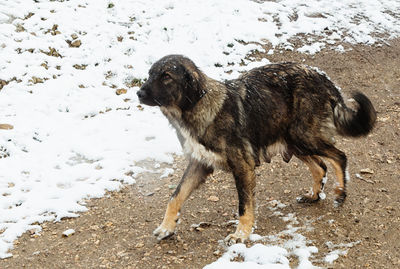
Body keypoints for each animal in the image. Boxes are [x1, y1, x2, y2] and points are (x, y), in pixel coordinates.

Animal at [136, 54, 376, 243]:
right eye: (150, 74)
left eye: (166, 76)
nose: (138, 93)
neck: (200, 107)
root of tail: (322, 77)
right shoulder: (200, 164)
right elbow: (175, 196)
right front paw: (167, 227)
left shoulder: (243, 166)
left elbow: (244, 206)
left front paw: (241, 234)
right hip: (293, 141)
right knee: (320, 166)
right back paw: (314, 196)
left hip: (304, 137)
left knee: (339, 156)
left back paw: (341, 193)